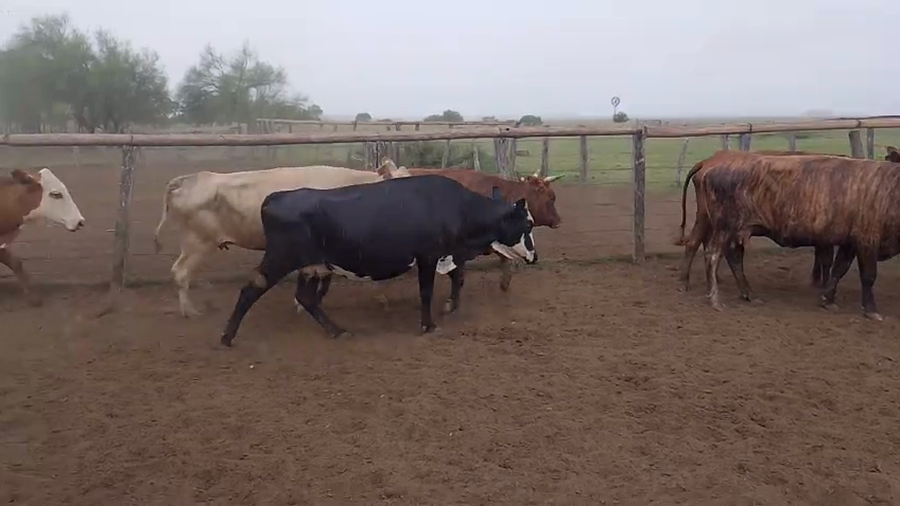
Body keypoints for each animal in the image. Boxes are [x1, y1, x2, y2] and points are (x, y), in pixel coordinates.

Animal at [219, 175, 535, 346]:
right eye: (528, 224)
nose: (534, 256)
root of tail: (274, 197)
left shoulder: (447, 255)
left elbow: (458, 277)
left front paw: (450, 307)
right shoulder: (428, 256)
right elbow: (426, 291)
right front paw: (429, 325)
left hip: (312, 266)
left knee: (306, 299)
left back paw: (337, 331)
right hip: (280, 259)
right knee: (250, 289)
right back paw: (227, 337)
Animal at [684, 152, 900, 320]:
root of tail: (713, 166)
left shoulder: (850, 242)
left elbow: (839, 270)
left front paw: (827, 300)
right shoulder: (867, 240)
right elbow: (868, 276)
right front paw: (871, 310)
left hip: (737, 230)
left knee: (733, 257)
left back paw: (749, 294)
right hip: (725, 227)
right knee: (712, 254)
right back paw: (715, 299)